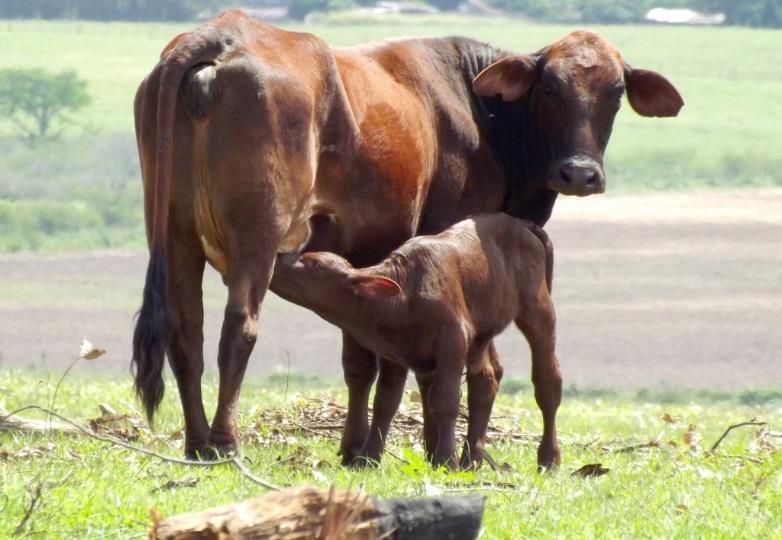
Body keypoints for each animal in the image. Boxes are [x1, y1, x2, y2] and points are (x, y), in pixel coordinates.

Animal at [272, 213, 560, 470]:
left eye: (315, 265)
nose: (278, 260)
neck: (404, 295)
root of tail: (523, 224)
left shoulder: (453, 340)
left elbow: (446, 401)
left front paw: (446, 460)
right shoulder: (393, 351)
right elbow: (385, 402)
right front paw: (368, 458)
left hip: (538, 310)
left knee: (548, 380)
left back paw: (548, 458)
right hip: (482, 335)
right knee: (486, 379)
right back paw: (472, 460)